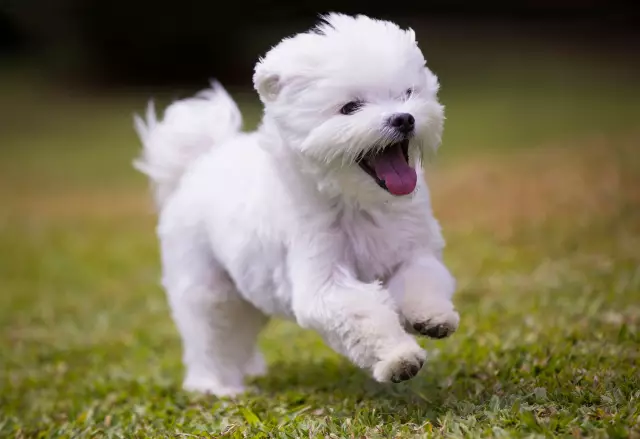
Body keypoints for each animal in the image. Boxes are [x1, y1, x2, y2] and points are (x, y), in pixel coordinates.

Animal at [135, 12, 458, 398]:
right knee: (212, 337)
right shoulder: (323, 281)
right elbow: (364, 315)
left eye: (407, 93)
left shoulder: (411, 250)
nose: (404, 118)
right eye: (350, 107)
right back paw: (217, 387)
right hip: (208, 289)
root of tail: (199, 162)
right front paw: (398, 358)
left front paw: (432, 317)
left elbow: (422, 280)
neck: (358, 201)